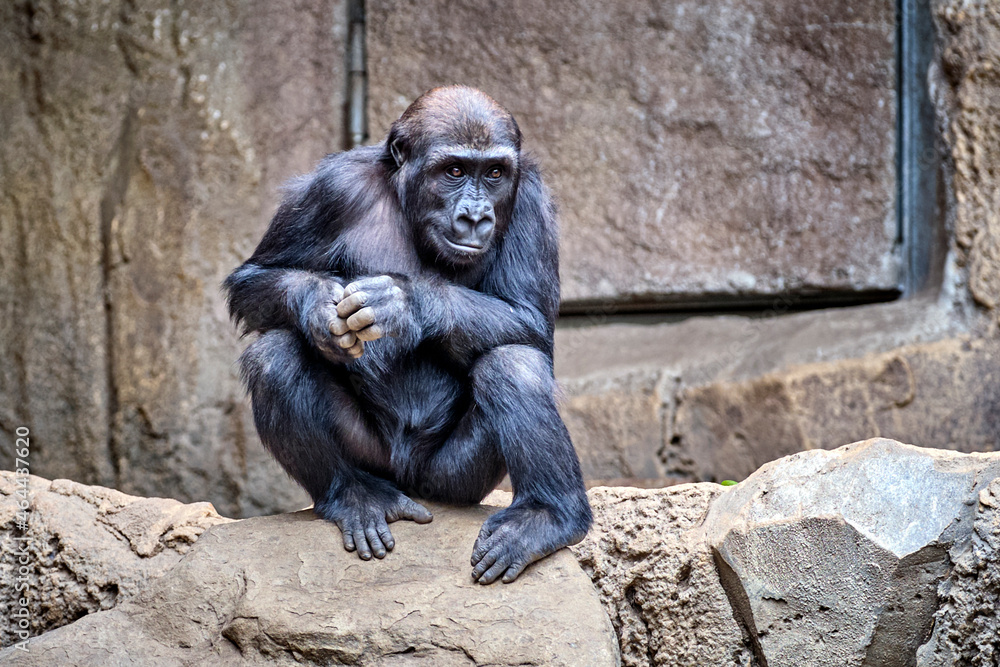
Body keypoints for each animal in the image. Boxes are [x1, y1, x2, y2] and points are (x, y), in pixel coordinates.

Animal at [223, 85, 588, 584]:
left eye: (494, 173)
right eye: (454, 171)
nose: (475, 216)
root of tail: (409, 483)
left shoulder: (531, 199)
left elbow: (531, 321)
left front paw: (403, 304)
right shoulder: (329, 188)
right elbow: (255, 276)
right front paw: (318, 303)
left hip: (453, 481)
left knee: (512, 362)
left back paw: (547, 517)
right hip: (373, 458)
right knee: (274, 354)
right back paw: (353, 495)